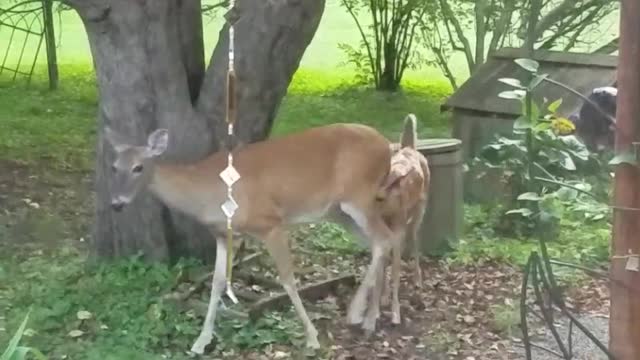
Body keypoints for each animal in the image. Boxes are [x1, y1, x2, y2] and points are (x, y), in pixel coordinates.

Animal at [104, 122, 404, 352]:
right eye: (115, 167)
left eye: (139, 167)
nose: (116, 203)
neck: (207, 191)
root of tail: (386, 146)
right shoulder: (223, 234)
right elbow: (217, 282)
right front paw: (201, 341)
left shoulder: (270, 223)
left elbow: (287, 279)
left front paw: (312, 337)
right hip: (340, 212)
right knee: (381, 241)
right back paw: (372, 317)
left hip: (359, 196)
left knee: (385, 239)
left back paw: (357, 313)